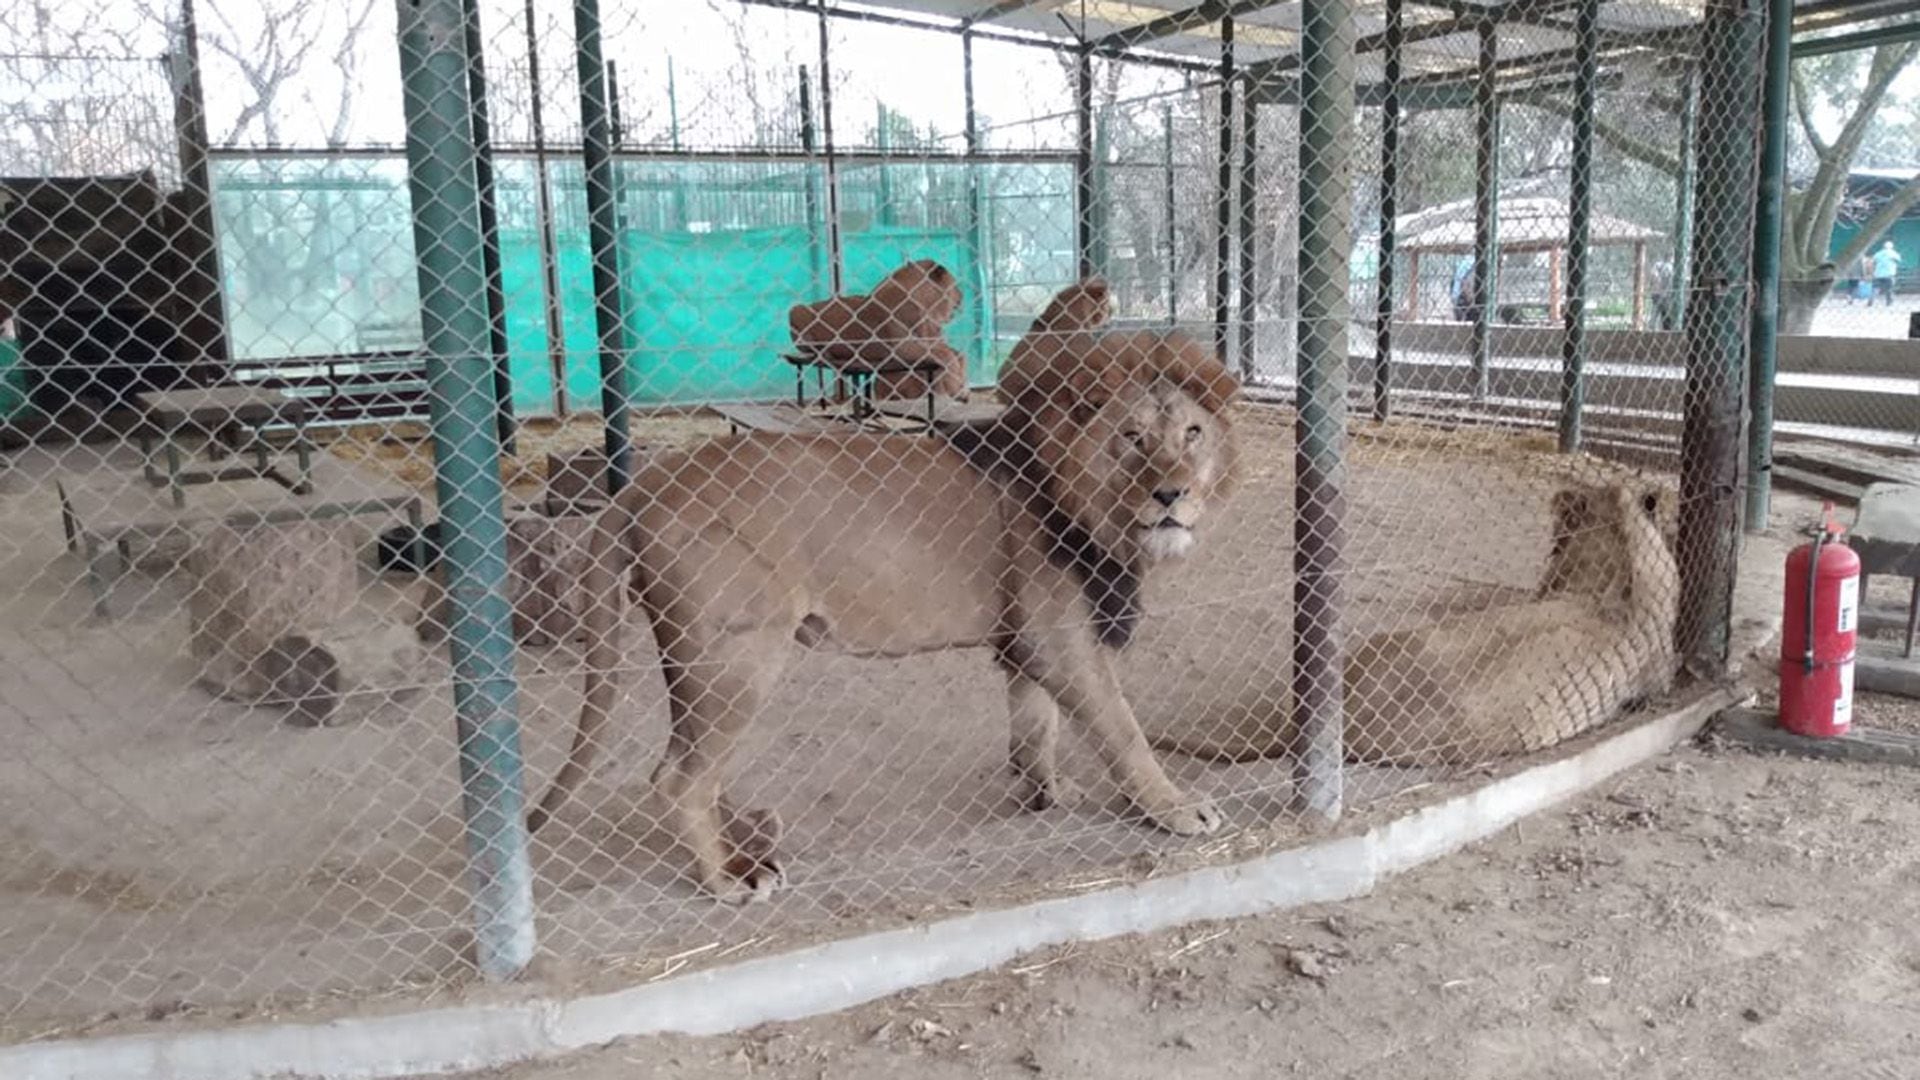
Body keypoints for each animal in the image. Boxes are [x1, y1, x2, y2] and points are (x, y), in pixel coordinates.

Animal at [529, 278, 1244, 899]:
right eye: (1132, 437)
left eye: (1192, 433)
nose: (1172, 494)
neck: (1082, 493)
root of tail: (644, 487)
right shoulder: (1060, 636)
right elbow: (1121, 729)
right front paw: (1175, 807)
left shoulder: (1025, 637)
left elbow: (1033, 725)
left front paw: (1045, 792)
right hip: (737, 656)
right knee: (677, 777)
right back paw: (731, 877)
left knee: (694, 767)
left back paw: (748, 835)